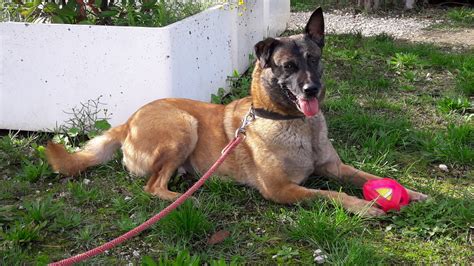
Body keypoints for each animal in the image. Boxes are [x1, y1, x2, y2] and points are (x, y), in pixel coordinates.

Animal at [45, 7, 430, 216]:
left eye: (313, 60)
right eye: (288, 66)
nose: (311, 90)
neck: (293, 123)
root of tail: (127, 122)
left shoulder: (335, 167)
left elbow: (365, 177)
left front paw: (411, 193)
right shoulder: (282, 190)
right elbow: (329, 193)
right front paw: (362, 206)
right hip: (183, 125)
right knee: (153, 186)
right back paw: (186, 199)